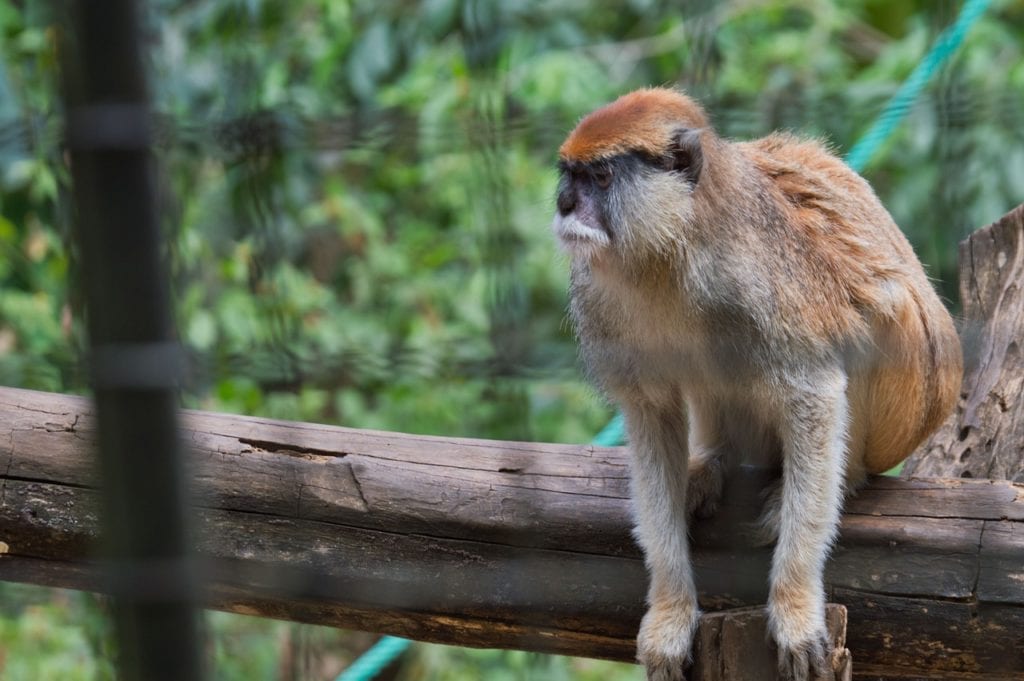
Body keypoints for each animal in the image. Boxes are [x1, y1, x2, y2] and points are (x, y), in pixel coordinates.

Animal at [552, 89, 958, 679]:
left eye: (601, 178)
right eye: (569, 176)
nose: (563, 204)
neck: (668, 250)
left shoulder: (754, 284)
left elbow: (814, 391)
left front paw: (795, 606)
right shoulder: (600, 302)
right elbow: (651, 417)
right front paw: (670, 613)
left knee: (880, 302)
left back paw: (847, 475)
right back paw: (711, 461)